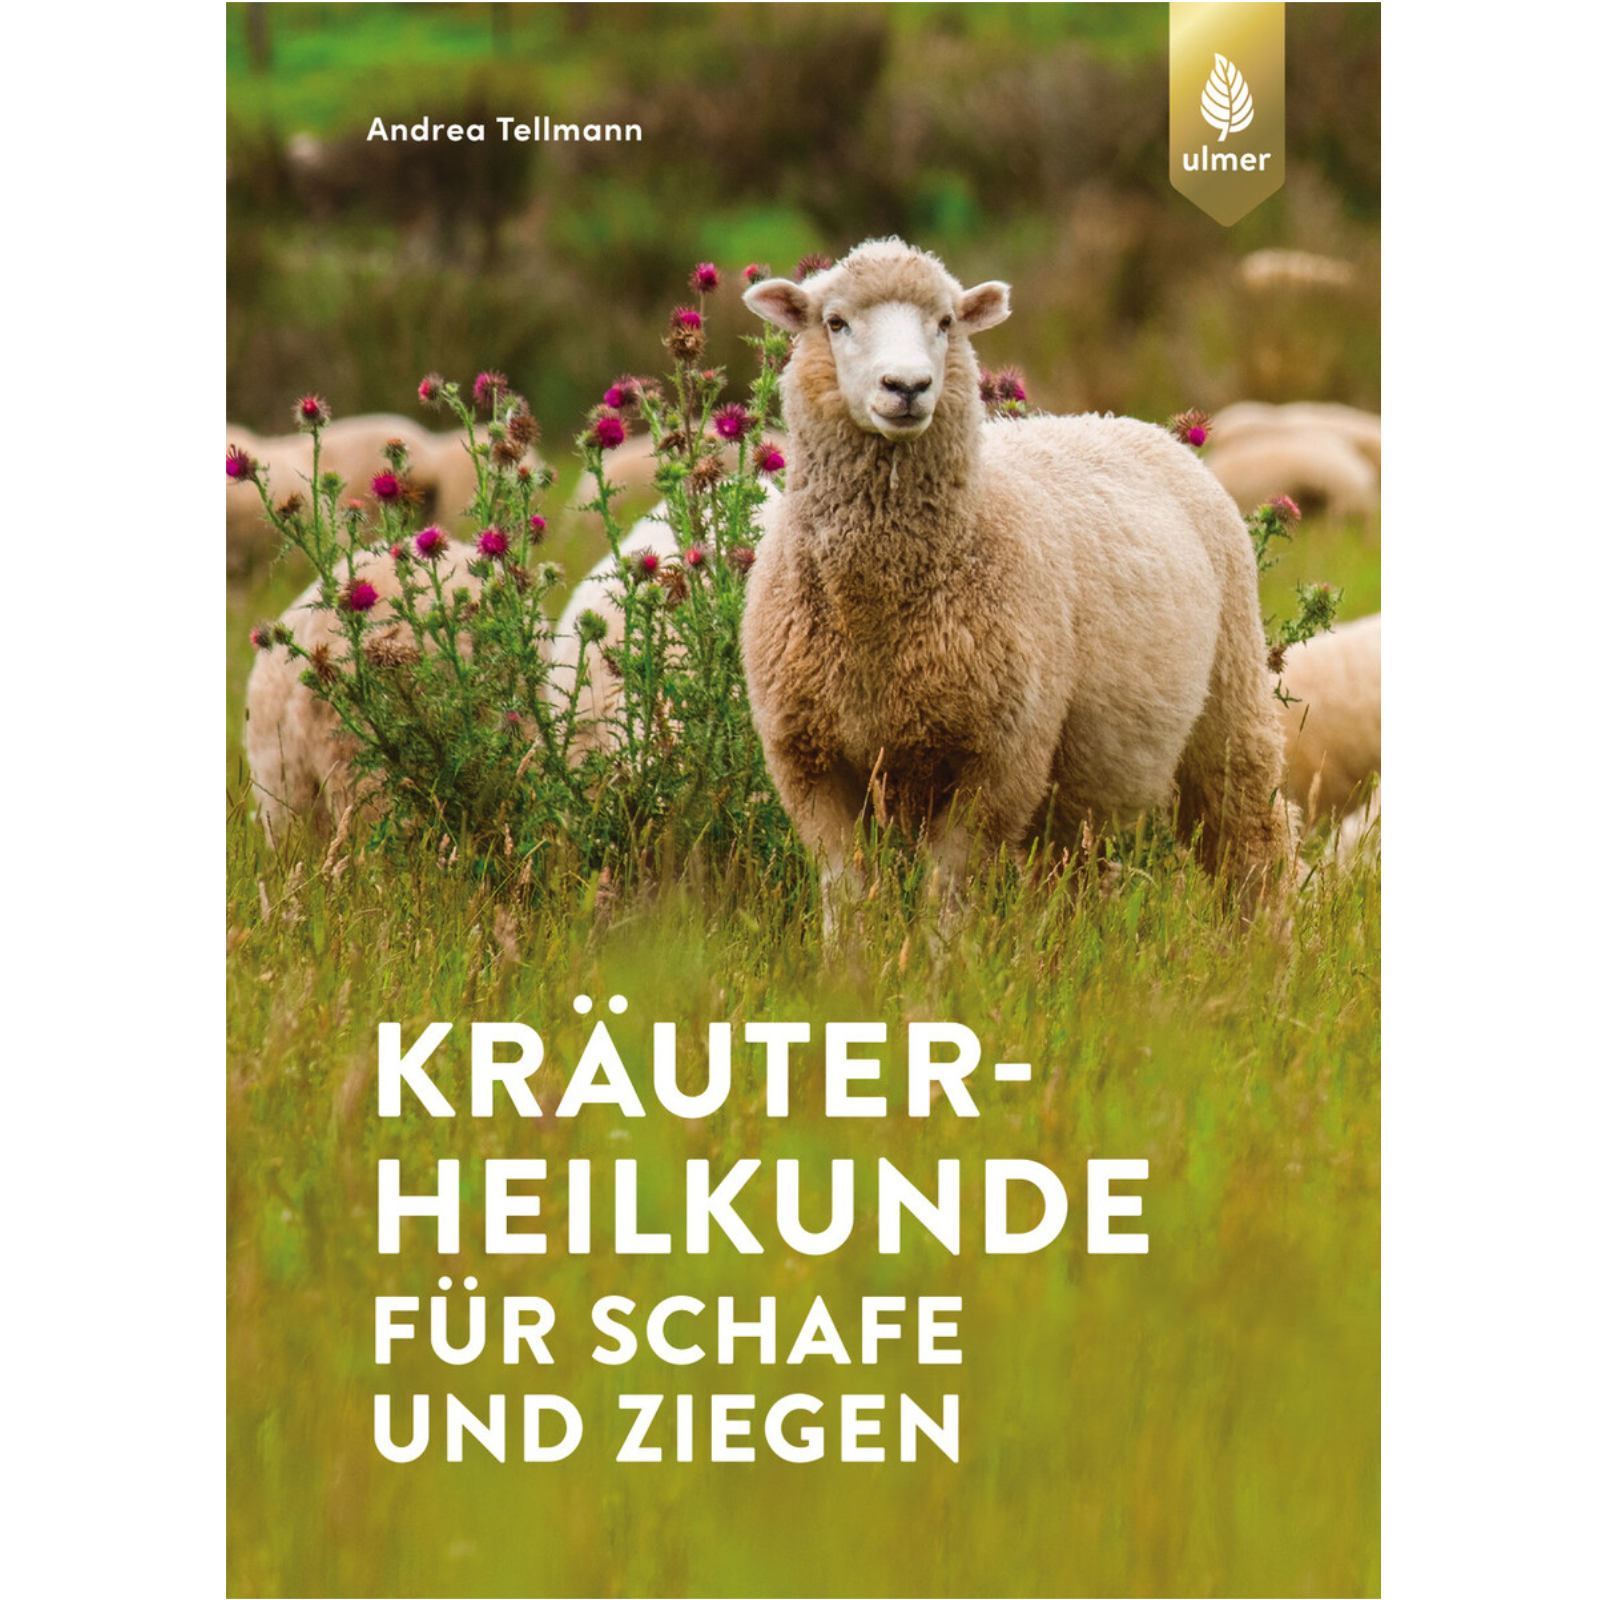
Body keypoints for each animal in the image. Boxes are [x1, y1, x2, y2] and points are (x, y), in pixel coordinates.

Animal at [740, 239, 1292, 910]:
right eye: (835, 322)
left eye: (946, 322)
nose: (908, 386)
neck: (878, 614)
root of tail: (1123, 421)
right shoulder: (809, 761)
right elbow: (847, 892)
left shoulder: (999, 761)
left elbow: (947, 891)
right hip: (1079, 790)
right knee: (1076, 876)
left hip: (1231, 703)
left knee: (1253, 841)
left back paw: (1267, 931)